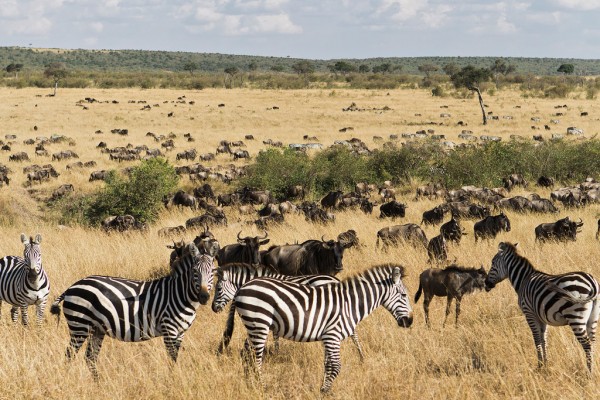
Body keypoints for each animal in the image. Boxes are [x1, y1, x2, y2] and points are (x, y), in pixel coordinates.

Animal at [51, 241, 216, 378]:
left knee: (90, 358)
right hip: (79, 326)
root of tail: (72, 287)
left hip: (96, 329)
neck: (179, 294)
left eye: (213, 272)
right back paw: (68, 381)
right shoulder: (169, 329)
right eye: (195, 271)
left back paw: (98, 384)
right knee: (69, 355)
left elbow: (174, 358)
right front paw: (172, 381)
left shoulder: (180, 332)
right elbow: (171, 358)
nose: (204, 297)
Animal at [212, 262, 366, 360]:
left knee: (353, 332)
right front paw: (276, 352)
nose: (213, 308)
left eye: (218, 289)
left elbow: (274, 336)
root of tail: (335, 279)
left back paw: (361, 355)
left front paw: (276, 353)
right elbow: (275, 334)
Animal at [232, 264, 410, 392]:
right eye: (404, 295)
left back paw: (250, 385)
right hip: (260, 322)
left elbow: (328, 365)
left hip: (253, 325)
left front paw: (323, 388)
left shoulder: (327, 338)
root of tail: (243, 286)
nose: (409, 322)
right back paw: (263, 388)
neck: (350, 304)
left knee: (246, 354)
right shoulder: (333, 335)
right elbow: (336, 367)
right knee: (256, 359)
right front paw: (324, 391)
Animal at [486, 241, 596, 372]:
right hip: (593, 318)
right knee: (593, 342)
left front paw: (539, 366)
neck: (523, 280)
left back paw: (589, 372)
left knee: (587, 344)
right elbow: (544, 339)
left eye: (492, 263)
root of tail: (591, 282)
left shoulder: (529, 313)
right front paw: (545, 364)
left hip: (576, 317)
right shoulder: (542, 316)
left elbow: (537, 339)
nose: (486, 284)